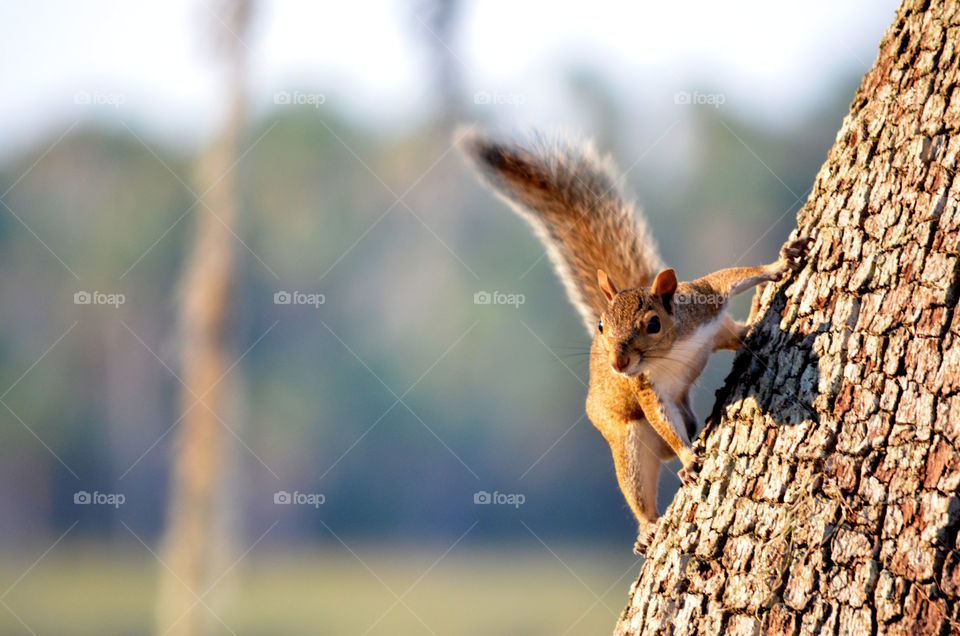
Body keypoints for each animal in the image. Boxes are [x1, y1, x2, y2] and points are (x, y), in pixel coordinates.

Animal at [462, 131, 810, 554]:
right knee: (641, 478)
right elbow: (664, 422)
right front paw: (688, 457)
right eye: (601, 325)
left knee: (731, 337)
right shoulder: (646, 388)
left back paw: (750, 324)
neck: (670, 353)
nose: (617, 363)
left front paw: (779, 263)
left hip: (717, 336)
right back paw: (647, 529)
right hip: (625, 438)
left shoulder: (704, 304)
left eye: (654, 324)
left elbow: (732, 276)